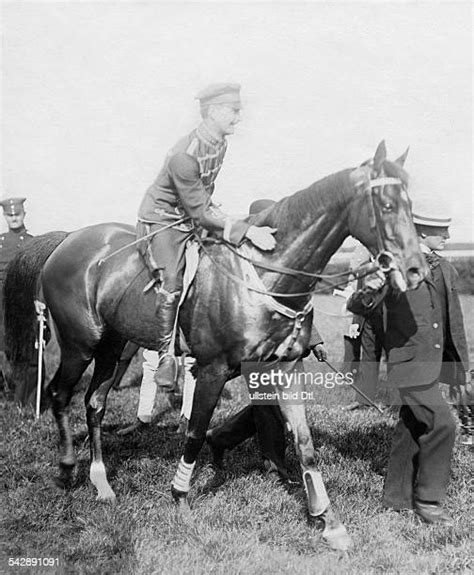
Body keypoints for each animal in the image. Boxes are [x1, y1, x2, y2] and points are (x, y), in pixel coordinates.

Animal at [2, 142, 426, 552]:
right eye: (387, 205)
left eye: (412, 205)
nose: (417, 269)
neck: (267, 276)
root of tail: (67, 240)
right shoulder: (211, 370)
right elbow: (195, 431)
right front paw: (180, 497)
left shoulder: (285, 369)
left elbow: (304, 443)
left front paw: (331, 523)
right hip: (81, 344)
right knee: (59, 394)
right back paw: (66, 468)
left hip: (111, 343)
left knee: (94, 403)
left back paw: (101, 482)